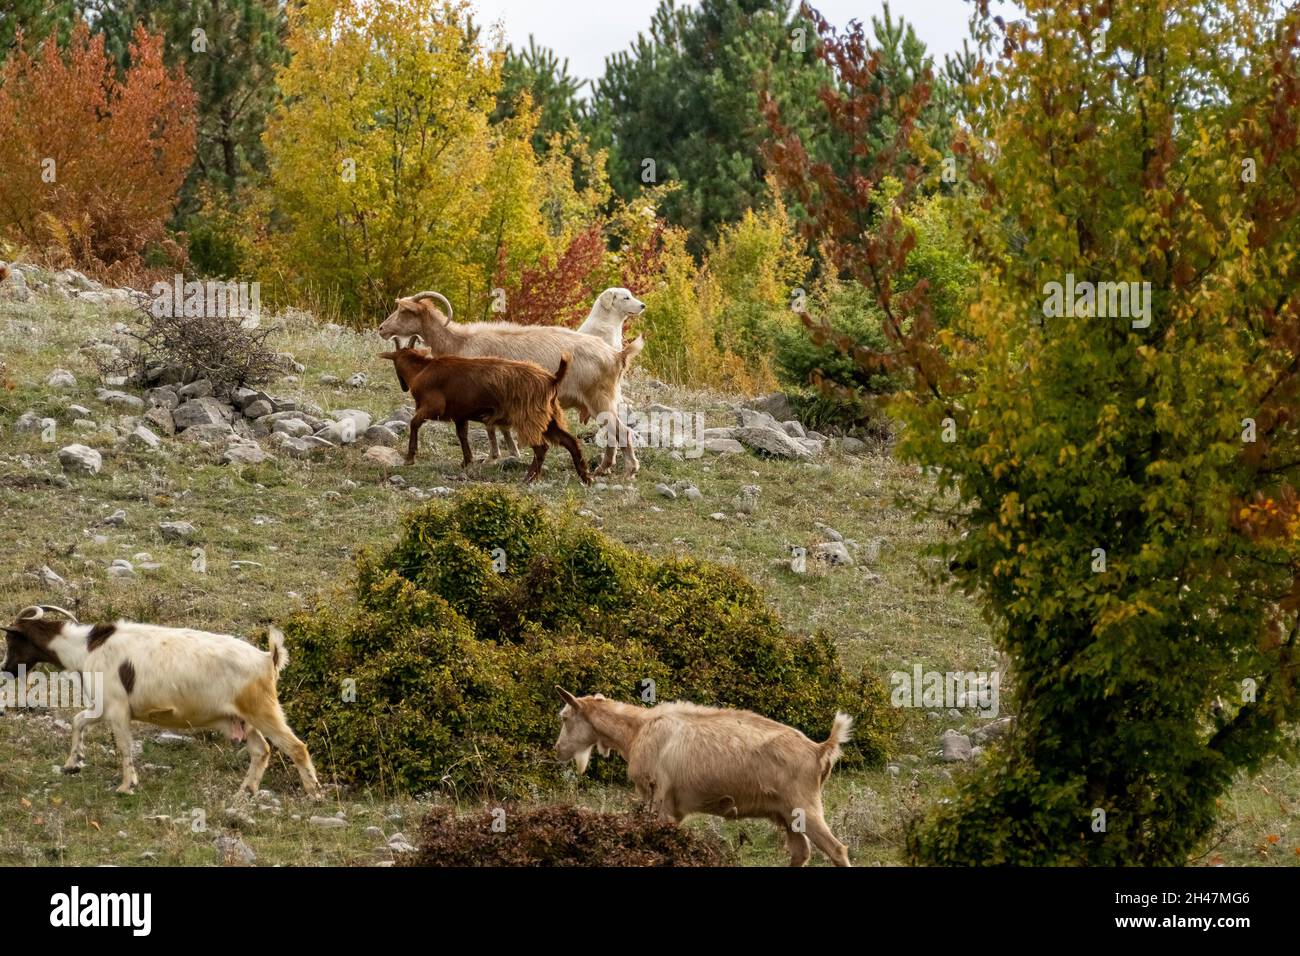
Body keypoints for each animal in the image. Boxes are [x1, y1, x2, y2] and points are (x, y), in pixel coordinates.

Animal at [1, 606, 321, 801]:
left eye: (12, 641)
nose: (6, 668)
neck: (88, 647)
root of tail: (268, 659)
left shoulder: (117, 709)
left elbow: (124, 746)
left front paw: (126, 786)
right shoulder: (103, 707)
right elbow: (78, 721)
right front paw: (72, 763)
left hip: (263, 711)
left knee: (296, 747)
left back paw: (314, 793)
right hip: (244, 720)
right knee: (261, 751)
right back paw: (245, 791)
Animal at [379, 338, 592, 486]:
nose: (404, 386)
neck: (423, 369)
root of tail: (551, 379)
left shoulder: (433, 407)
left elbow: (414, 423)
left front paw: (409, 458)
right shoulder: (460, 415)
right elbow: (462, 435)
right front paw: (467, 461)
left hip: (529, 417)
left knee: (542, 447)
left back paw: (529, 478)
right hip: (550, 418)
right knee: (570, 442)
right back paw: (585, 477)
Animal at [551, 686, 847, 868]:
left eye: (564, 717)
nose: (557, 749)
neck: (636, 731)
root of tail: (819, 750)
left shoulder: (660, 802)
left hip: (805, 807)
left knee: (837, 849)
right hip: (787, 815)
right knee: (801, 852)